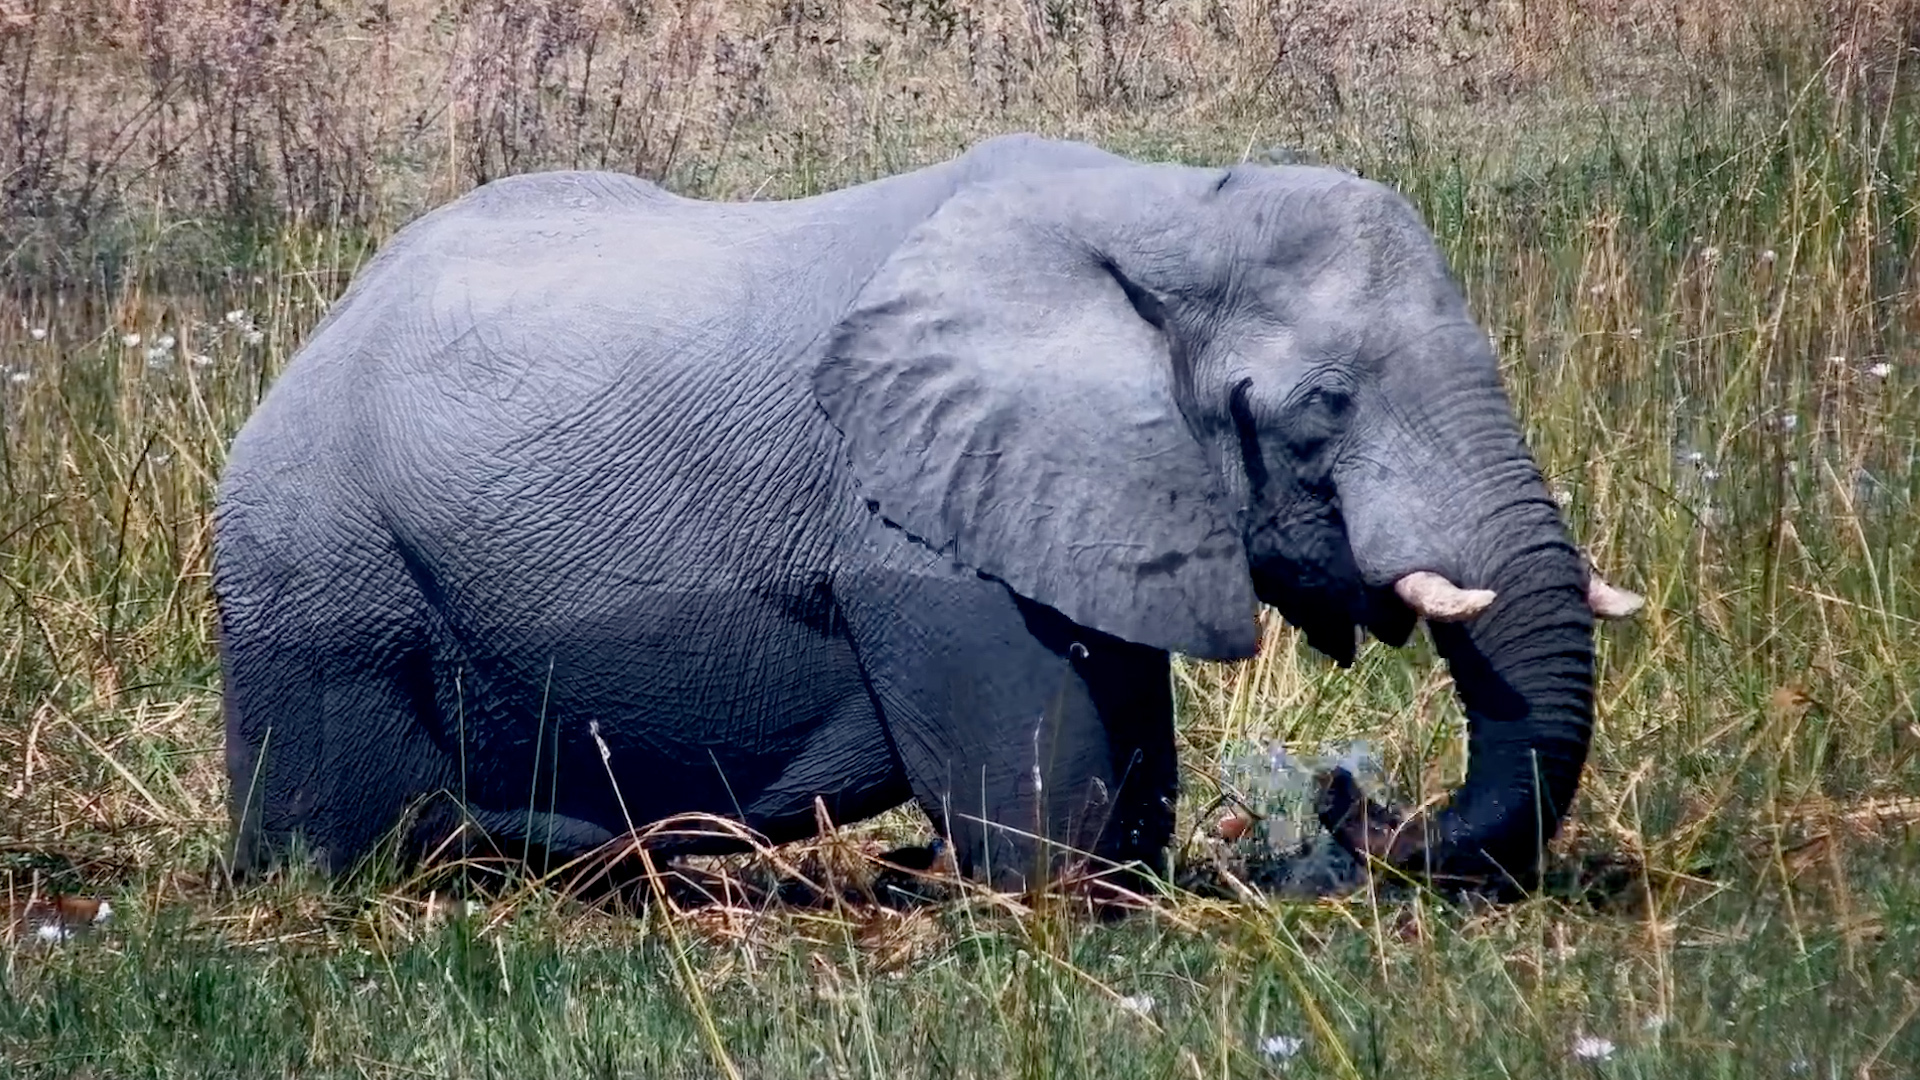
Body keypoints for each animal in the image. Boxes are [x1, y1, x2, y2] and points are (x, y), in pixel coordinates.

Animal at [212, 133, 1641, 893]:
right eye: (1322, 406)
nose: (1347, 798)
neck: (1163, 203)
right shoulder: (911, 524)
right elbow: (1045, 816)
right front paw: (1033, 902)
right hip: (320, 575)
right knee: (333, 827)